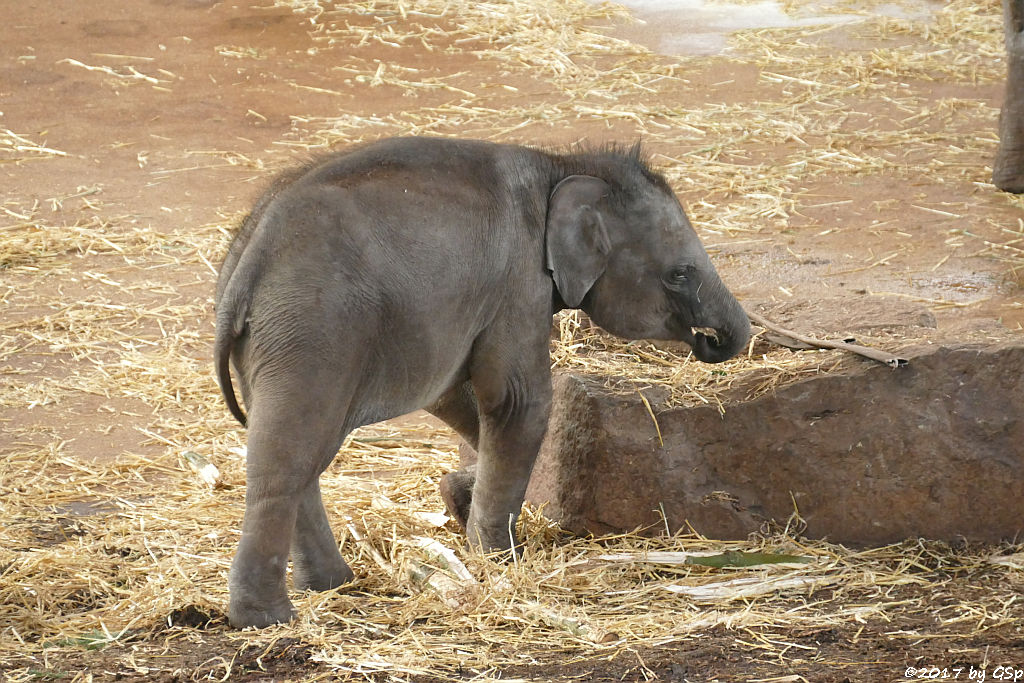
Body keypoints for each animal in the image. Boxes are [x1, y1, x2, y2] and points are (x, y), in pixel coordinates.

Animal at [214, 136, 753, 626]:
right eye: (679, 273)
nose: (711, 341)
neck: (561, 165)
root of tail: (246, 263)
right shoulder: (519, 279)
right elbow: (517, 401)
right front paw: (498, 558)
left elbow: (453, 394)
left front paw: (461, 495)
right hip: (313, 330)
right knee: (286, 461)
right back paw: (266, 620)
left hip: (273, 344)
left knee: (297, 450)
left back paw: (333, 586)